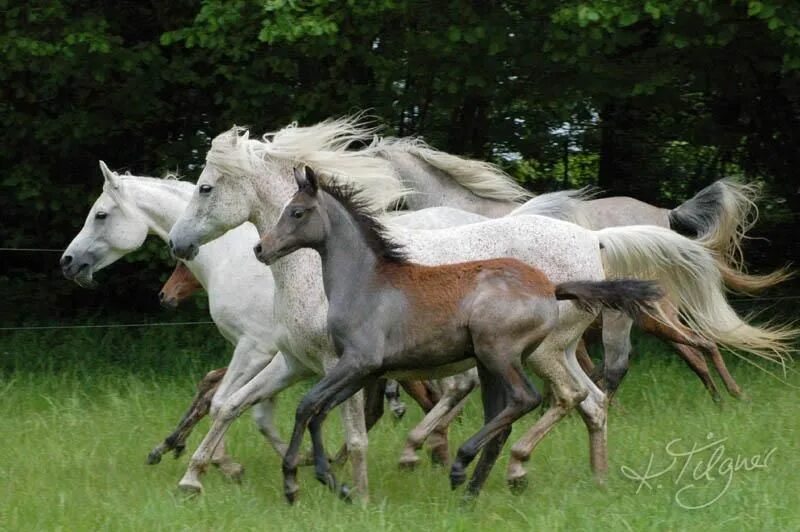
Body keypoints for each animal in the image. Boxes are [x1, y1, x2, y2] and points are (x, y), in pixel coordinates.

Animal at [169, 125, 792, 498]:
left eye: (205, 187)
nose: (178, 245)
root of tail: (596, 240)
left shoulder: (337, 363)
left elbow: (347, 426)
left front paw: (353, 487)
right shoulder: (293, 360)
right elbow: (233, 404)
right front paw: (197, 473)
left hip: (548, 350)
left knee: (579, 393)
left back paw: (507, 464)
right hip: (558, 348)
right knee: (591, 399)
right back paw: (581, 476)